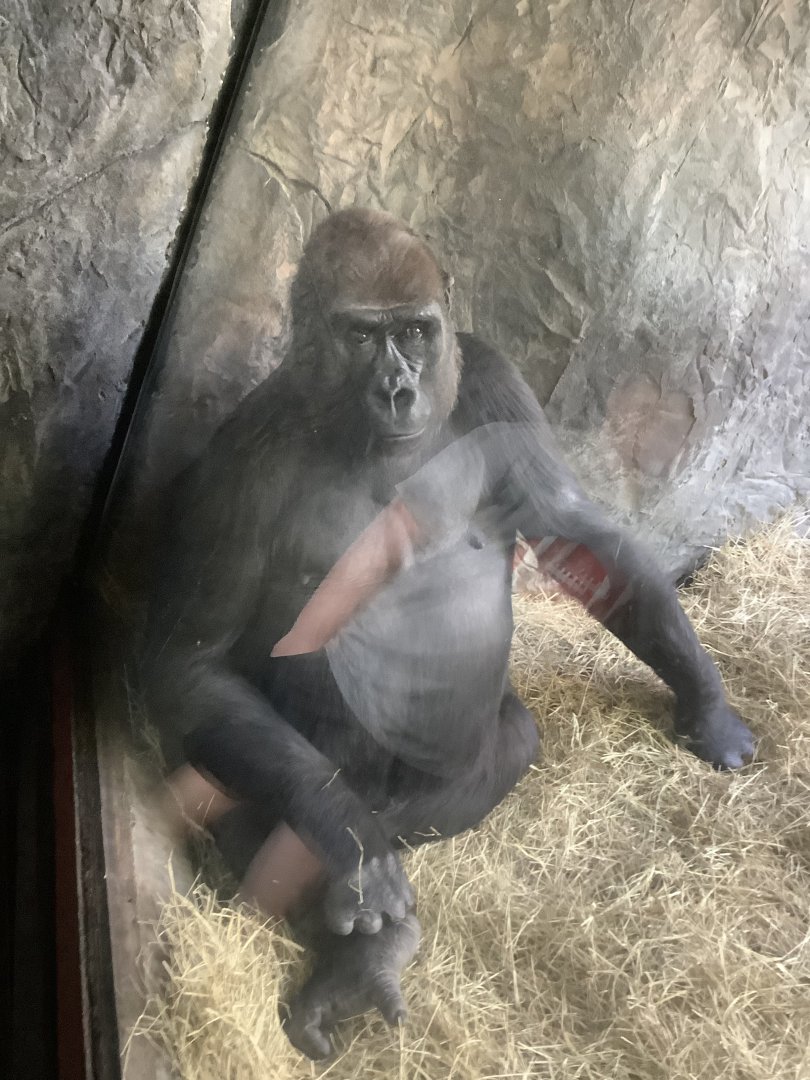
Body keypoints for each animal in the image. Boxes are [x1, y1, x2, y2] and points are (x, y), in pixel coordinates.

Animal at [141, 208, 754, 1058]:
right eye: (362, 336)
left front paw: (706, 702)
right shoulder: (244, 453)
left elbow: (574, 534)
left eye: (416, 332)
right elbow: (191, 662)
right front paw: (350, 840)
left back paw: (357, 953)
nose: (398, 391)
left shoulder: (494, 378)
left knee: (503, 745)